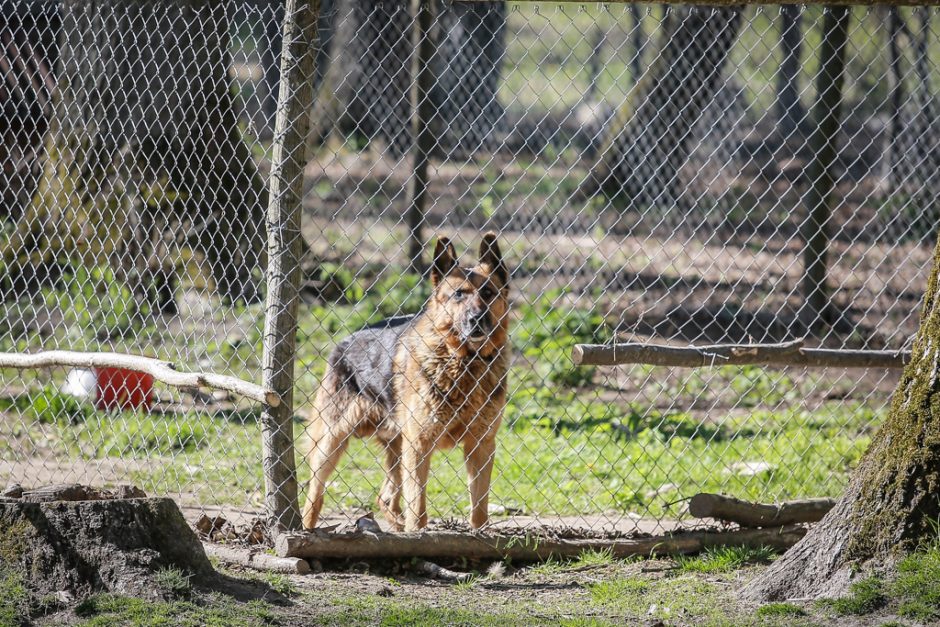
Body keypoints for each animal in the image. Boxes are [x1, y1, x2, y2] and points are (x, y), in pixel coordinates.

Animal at [300, 233, 506, 532]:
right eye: (458, 294)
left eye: (488, 292)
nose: (476, 319)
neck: (464, 362)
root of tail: (346, 340)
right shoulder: (419, 445)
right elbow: (418, 509)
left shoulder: (481, 445)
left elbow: (479, 510)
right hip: (333, 442)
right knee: (316, 490)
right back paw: (307, 525)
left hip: (397, 448)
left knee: (386, 497)